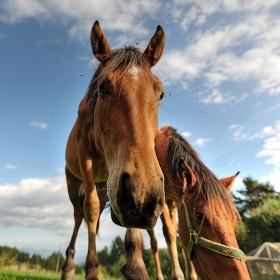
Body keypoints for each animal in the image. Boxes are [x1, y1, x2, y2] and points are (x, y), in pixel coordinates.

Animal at [61, 20, 165, 278]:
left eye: (161, 93)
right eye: (102, 87)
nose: (144, 196)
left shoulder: (115, 171)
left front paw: (136, 266)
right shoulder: (86, 157)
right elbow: (90, 209)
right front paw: (91, 270)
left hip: (101, 185)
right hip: (72, 180)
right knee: (79, 215)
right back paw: (68, 266)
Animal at [121, 127, 249, 280]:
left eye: (233, 219)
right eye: (200, 216)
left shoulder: (179, 202)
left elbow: (180, 237)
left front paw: (191, 275)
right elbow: (169, 233)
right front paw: (178, 274)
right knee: (154, 243)